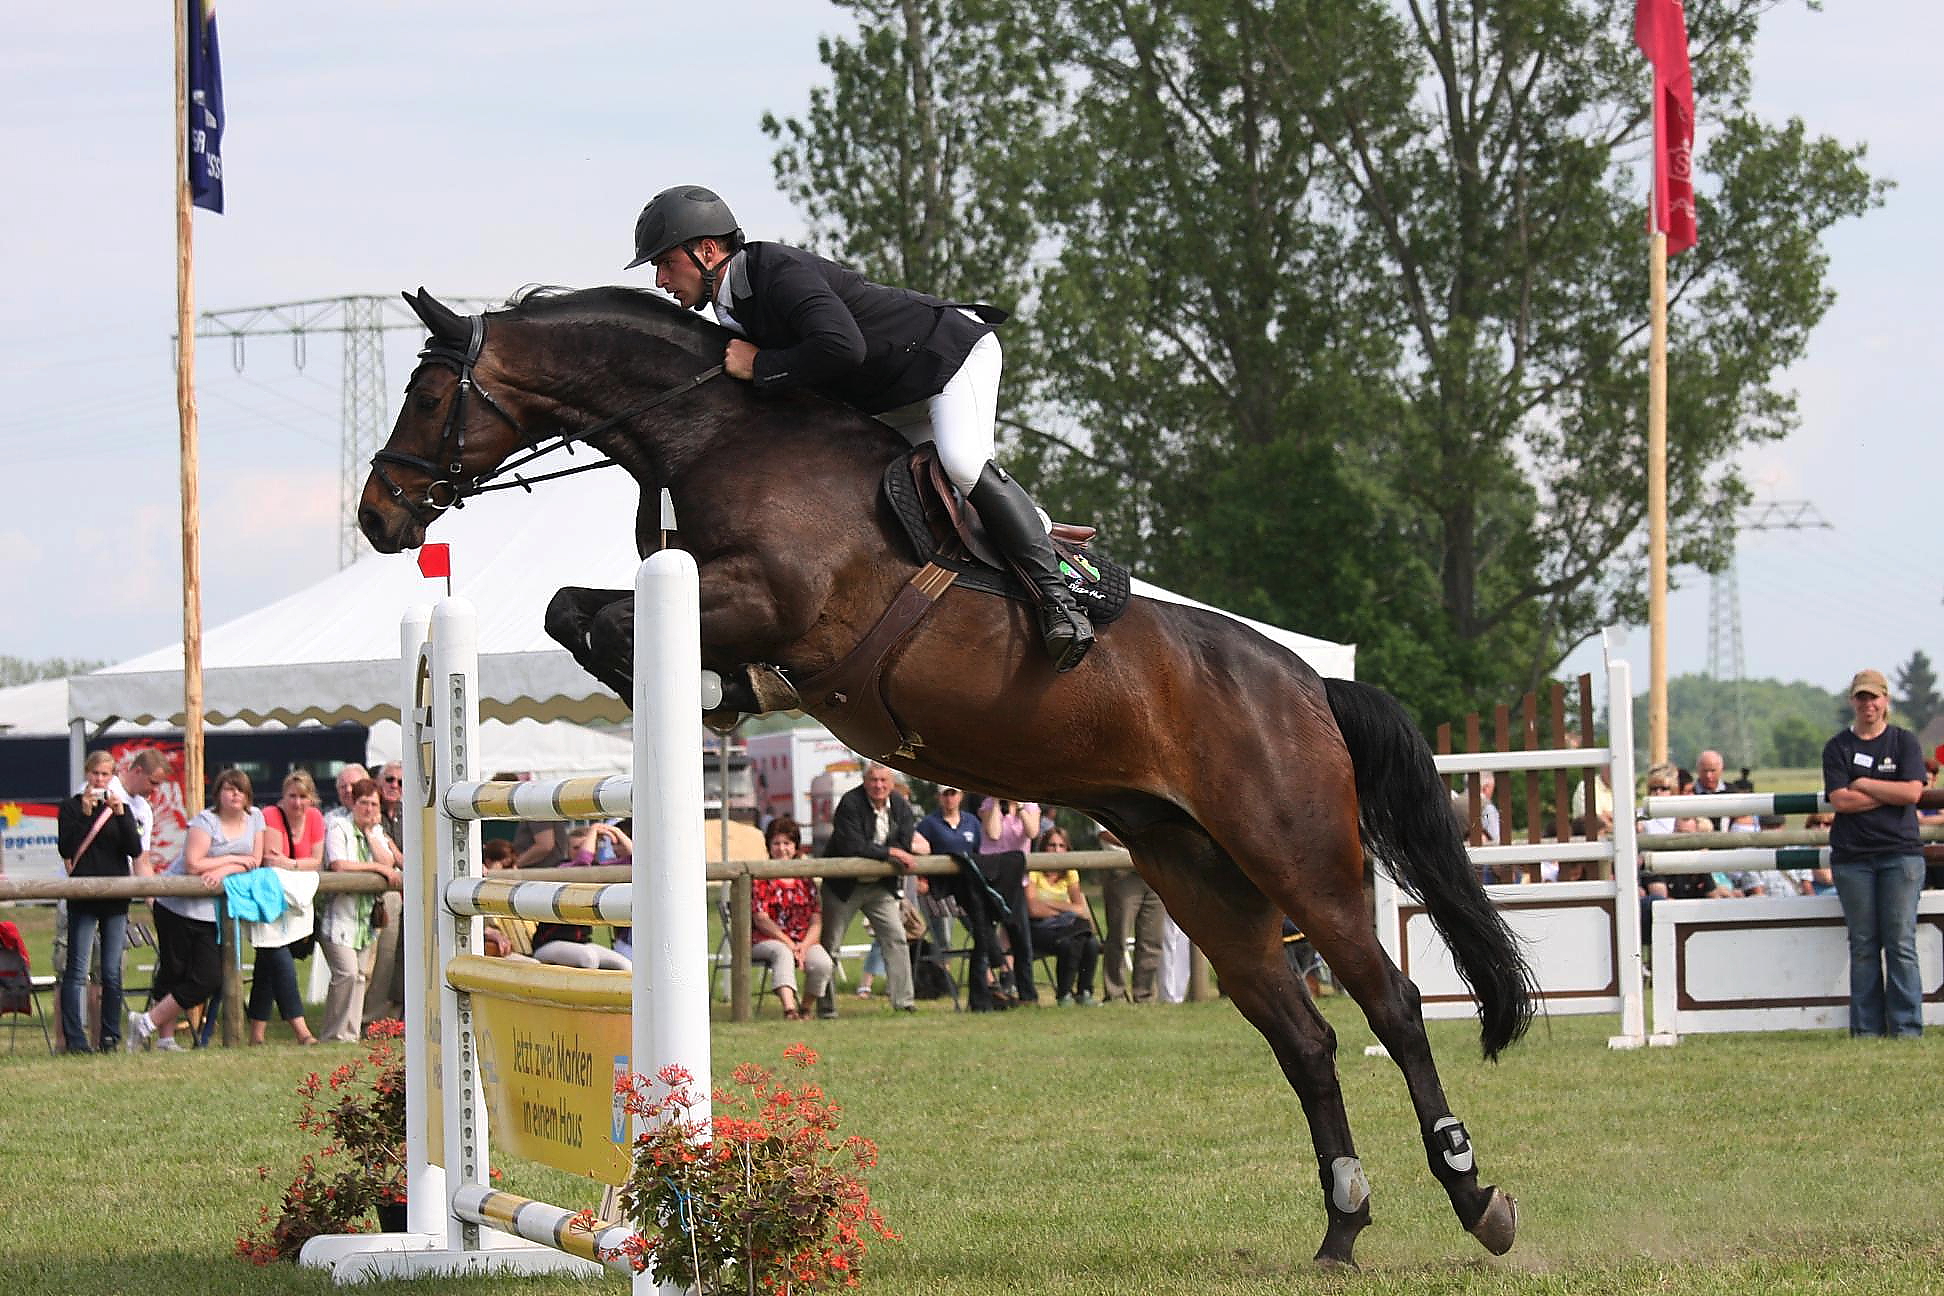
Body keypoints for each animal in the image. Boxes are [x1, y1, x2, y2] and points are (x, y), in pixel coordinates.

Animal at [353, 283, 1531, 1266]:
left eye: (426, 392)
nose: (377, 514)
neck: (715, 426)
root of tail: (1306, 685)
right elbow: (570, 609)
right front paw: (711, 695)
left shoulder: (762, 595)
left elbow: (597, 612)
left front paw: (705, 690)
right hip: (1196, 871)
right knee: (1306, 1038)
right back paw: (1342, 1228)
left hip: (1296, 855)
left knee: (1392, 1006)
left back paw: (1478, 1200)